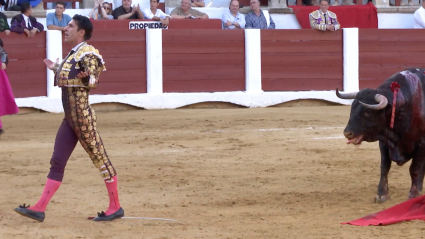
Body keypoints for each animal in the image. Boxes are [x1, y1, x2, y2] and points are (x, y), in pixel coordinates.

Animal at [338, 68, 425, 203]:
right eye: (352, 108)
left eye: (367, 112)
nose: (347, 133)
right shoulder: (384, 142)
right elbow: (384, 167)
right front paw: (382, 194)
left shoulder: (421, 144)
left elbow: (415, 169)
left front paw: (414, 194)